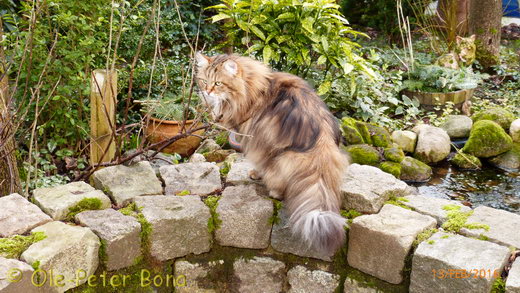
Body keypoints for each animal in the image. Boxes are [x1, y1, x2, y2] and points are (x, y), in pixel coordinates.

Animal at [195, 53, 350, 253]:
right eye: (203, 81)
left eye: (218, 83)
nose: (207, 92)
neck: (253, 86)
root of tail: (321, 144)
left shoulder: (257, 140)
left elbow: (260, 163)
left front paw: (256, 174)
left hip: (283, 157)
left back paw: (274, 190)